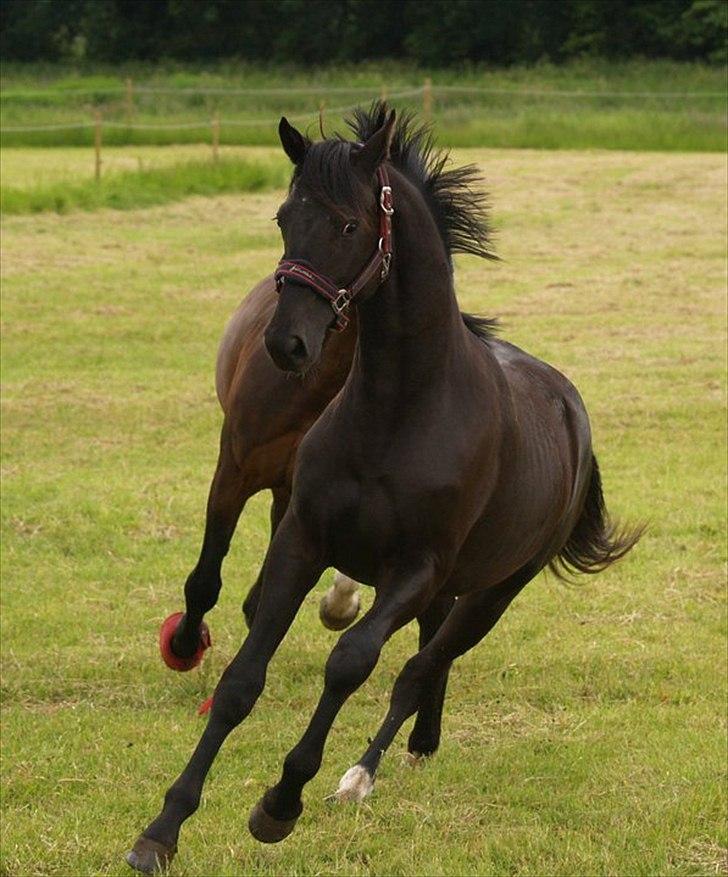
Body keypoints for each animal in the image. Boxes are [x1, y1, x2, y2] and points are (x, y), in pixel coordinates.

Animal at [128, 106, 640, 872]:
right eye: (283, 216)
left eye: (348, 226)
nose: (287, 344)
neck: (398, 410)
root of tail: (570, 409)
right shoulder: (302, 538)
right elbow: (242, 678)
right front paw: (163, 828)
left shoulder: (413, 570)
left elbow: (350, 664)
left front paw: (280, 802)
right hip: (447, 583)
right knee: (427, 655)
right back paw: (419, 742)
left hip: (494, 589)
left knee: (423, 665)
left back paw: (360, 774)